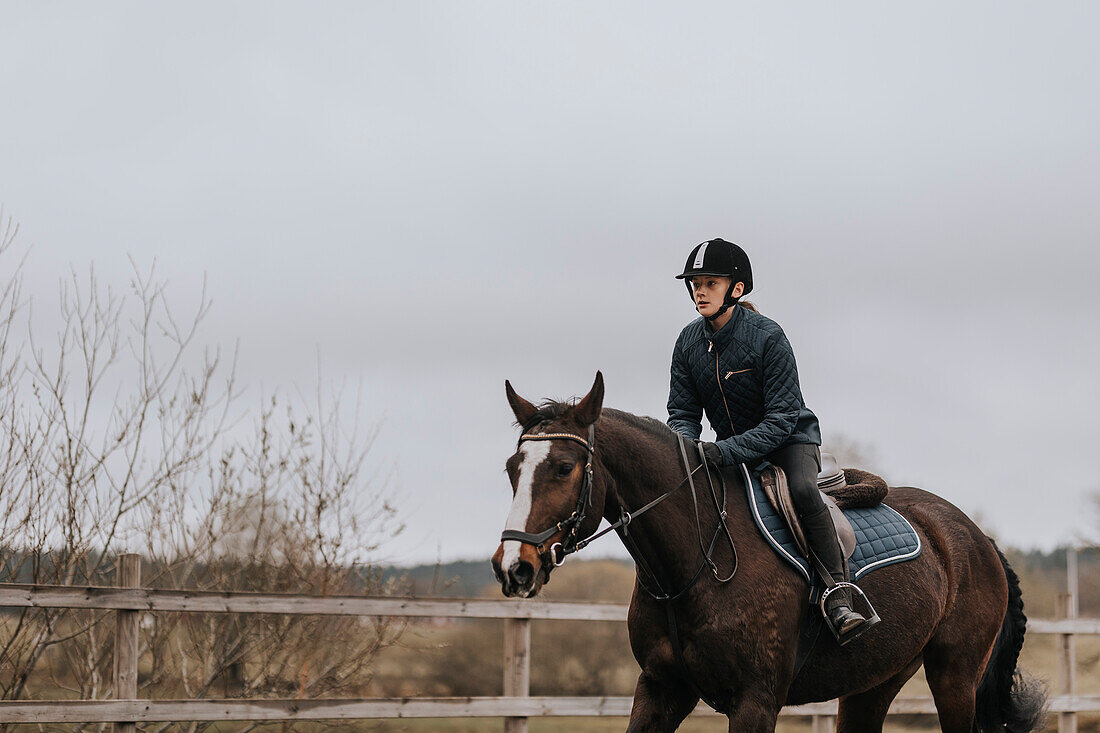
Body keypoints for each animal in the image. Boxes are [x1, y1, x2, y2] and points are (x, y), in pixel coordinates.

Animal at [492, 374, 1047, 726]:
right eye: (512, 469)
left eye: (564, 467)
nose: (513, 568)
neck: (694, 565)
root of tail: (978, 538)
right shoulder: (660, 689)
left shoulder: (755, 701)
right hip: (875, 682)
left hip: (956, 678)